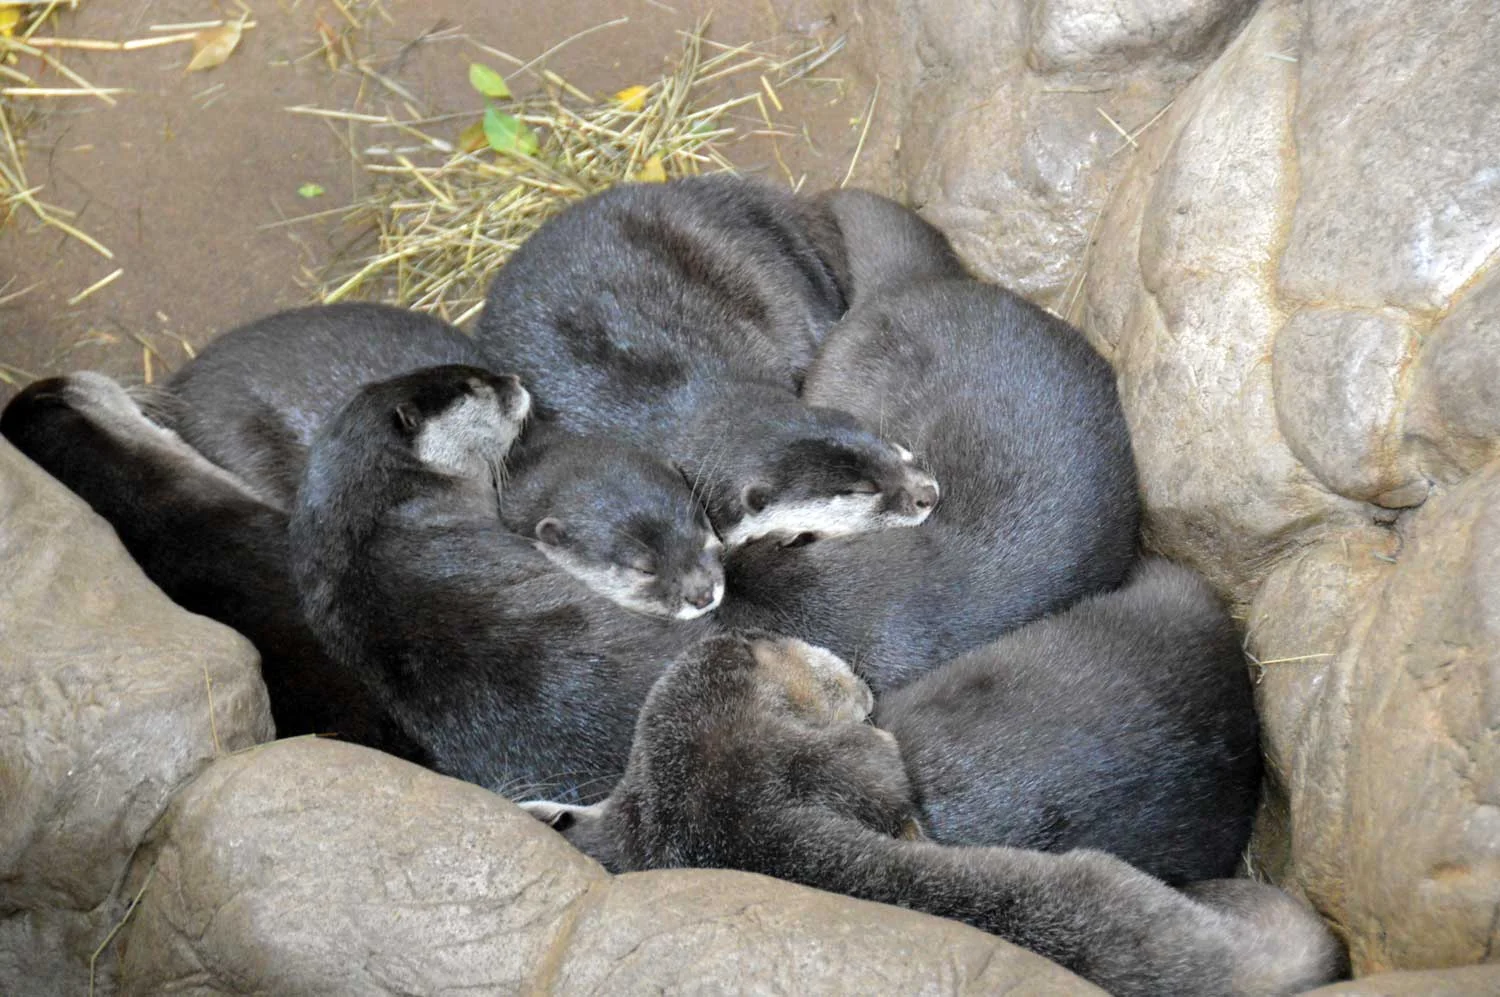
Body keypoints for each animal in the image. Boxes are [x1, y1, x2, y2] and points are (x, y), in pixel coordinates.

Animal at [520, 632, 1344, 997]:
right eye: (832, 667)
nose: (861, 678)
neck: (694, 777)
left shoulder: (638, 813)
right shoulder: (810, 760)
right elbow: (879, 773)